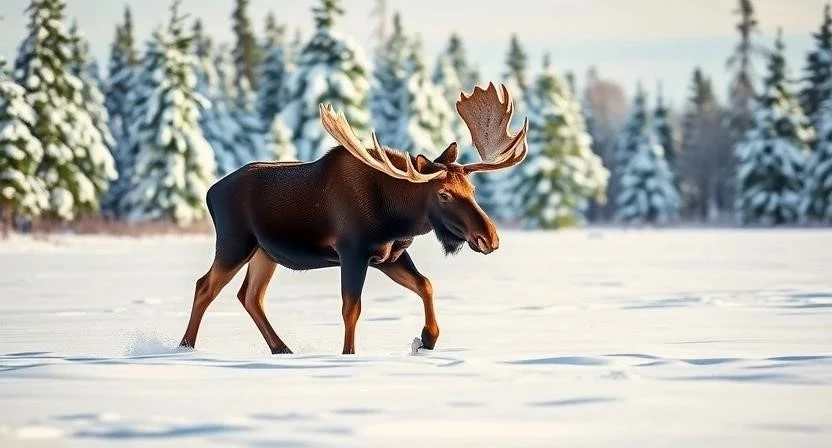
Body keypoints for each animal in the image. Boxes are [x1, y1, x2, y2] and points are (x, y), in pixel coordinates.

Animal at [178, 82, 528, 355]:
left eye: (472, 188)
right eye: (443, 194)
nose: (490, 237)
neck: (396, 217)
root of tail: (210, 192)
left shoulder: (389, 256)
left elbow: (425, 285)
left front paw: (426, 340)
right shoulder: (352, 251)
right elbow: (351, 308)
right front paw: (349, 355)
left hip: (265, 252)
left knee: (250, 296)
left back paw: (282, 348)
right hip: (235, 242)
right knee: (205, 286)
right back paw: (186, 346)